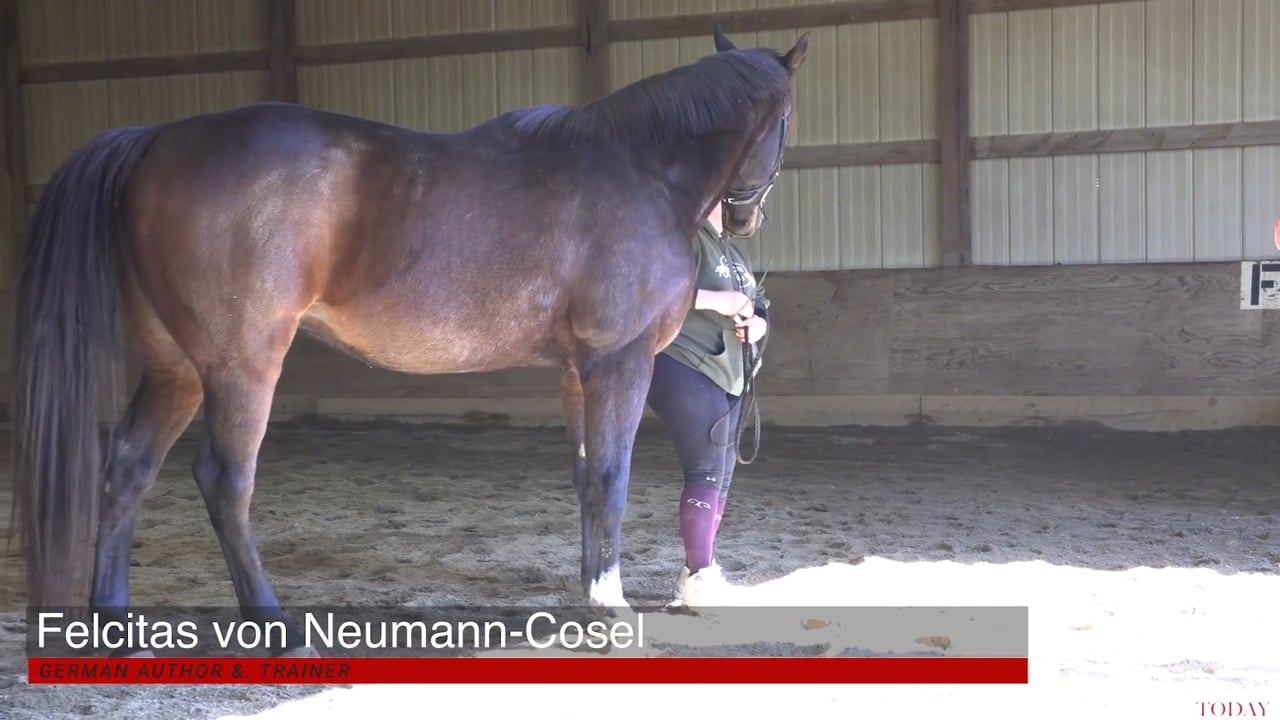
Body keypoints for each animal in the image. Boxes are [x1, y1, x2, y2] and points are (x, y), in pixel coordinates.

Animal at [9, 27, 808, 657]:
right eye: (789, 119)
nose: (747, 220)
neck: (640, 170)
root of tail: (152, 139)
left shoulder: (576, 372)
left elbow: (585, 479)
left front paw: (590, 594)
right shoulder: (621, 362)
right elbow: (612, 480)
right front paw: (612, 608)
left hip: (175, 366)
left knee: (128, 466)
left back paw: (117, 628)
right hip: (240, 365)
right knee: (225, 481)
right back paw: (280, 630)